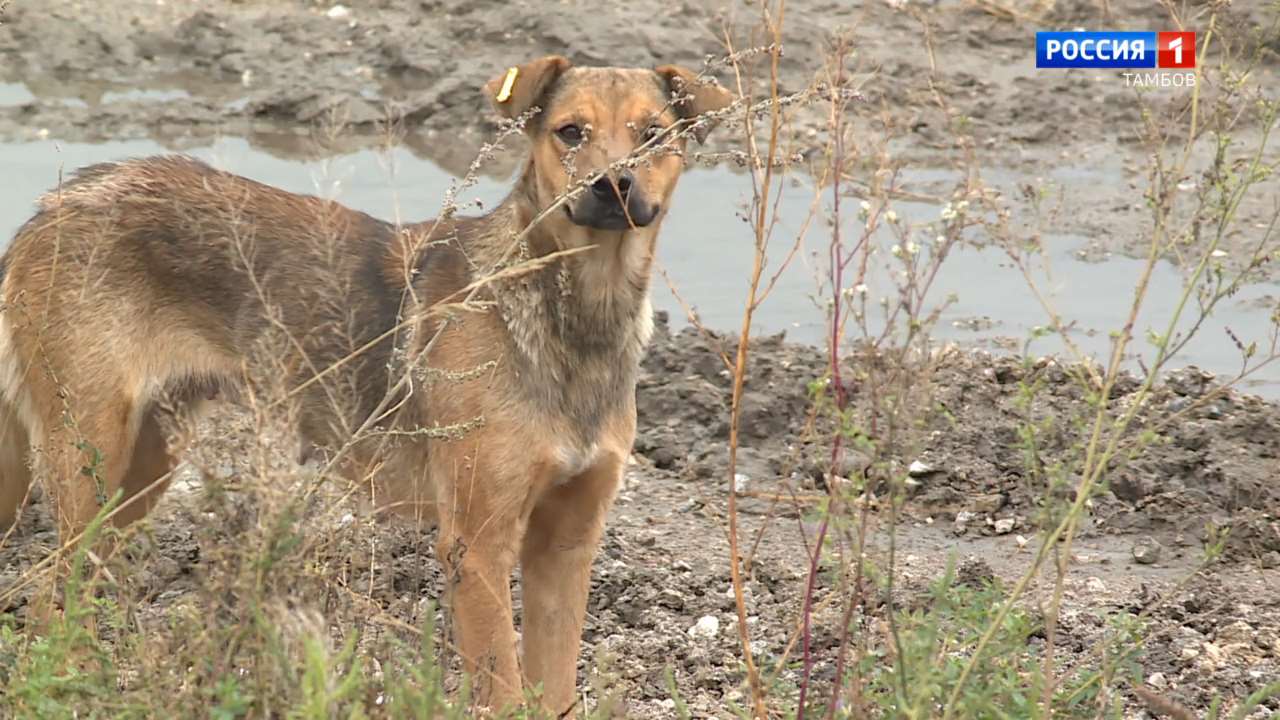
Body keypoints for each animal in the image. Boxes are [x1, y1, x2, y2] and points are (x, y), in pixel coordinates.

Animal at [0, 57, 737, 712]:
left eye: (652, 135)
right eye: (570, 132)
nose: (614, 186)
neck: (578, 316)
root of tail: (50, 207)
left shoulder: (566, 544)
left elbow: (553, 687)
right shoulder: (477, 545)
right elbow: (501, 687)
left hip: (142, 469)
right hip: (89, 458)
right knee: (47, 603)